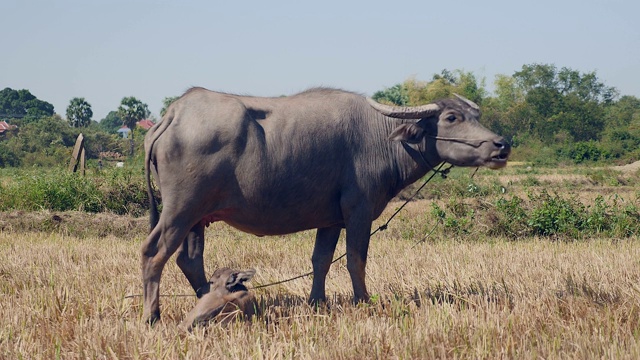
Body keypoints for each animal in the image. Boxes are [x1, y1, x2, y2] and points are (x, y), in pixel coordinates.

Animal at [141, 87, 510, 324]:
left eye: (475, 115)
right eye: (451, 118)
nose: (501, 145)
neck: (382, 139)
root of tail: (173, 115)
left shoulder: (330, 219)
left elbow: (321, 260)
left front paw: (317, 302)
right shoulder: (359, 211)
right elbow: (355, 260)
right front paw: (363, 301)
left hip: (198, 217)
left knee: (189, 259)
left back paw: (210, 300)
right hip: (180, 210)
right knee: (153, 253)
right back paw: (152, 316)